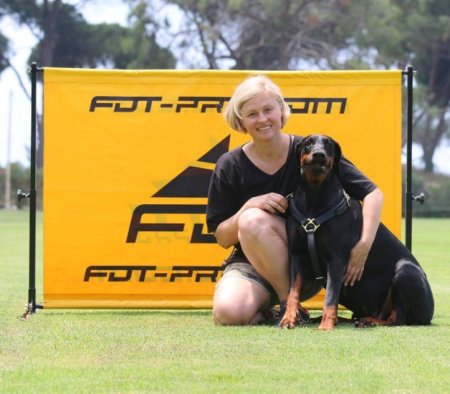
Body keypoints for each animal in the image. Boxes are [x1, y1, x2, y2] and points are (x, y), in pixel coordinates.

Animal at [280, 135, 434, 330]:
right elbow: (293, 292)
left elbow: (330, 297)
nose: (319, 155)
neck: (314, 195)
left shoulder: (336, 260)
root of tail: (430, 313)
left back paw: (368, 321)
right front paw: (288, 318)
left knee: (397, 319)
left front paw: (325, 325)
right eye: (308, 143)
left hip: (405, 270)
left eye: (328, 145)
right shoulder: (297, 254)